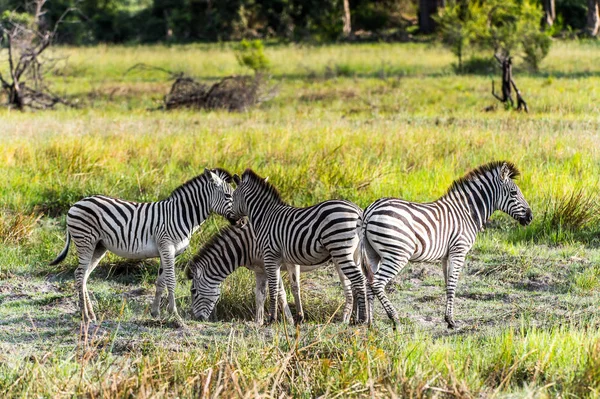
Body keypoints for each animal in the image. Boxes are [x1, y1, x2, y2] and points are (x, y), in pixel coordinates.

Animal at [49, 169, 237, 324]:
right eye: (229, 197)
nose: (240, 219)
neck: (181, 215)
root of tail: (76, 204)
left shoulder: (168, 251)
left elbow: (161, 281)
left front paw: (155, 313)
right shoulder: (167, 246)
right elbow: (171, 280)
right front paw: (174, 314)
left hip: (98, 246)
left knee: (84, 276)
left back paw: (91, 314)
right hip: (86, 242)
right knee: (80, 274)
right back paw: (85, 316)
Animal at [184, 225, 352, 324]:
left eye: (193, 291)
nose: (197, 319)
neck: (246, 244)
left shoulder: (270, 266)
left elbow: (275, 292)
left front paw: (285, 321)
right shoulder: (261, 270)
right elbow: (263, 294)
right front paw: (260, 322)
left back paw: (346, 319)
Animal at [231, 169, 368, 324]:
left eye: (233, 197)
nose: (237, 222)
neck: (265, 216)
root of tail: (357, 210)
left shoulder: (270, 255)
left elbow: (273, 287)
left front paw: (272, 318)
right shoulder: (285, 259)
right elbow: (291, 286)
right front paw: (298, 317)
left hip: (341, 249)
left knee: (359, 279)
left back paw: (363, 319)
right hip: (355, 253)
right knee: (361, 280)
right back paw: (359, 318)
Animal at [358, 161, 532, 330]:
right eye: (514, 193)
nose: (530, 217)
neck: (467, 213)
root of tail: (370, 210)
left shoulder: (446, 255)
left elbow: (448, 284)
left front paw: (448, 319)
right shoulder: (459, 250)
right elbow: (453, 285)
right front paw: (452, 321)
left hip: (373, 254)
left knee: (369, 283)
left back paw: (371, 324)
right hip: (397, 254)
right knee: (377, 283)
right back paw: (395, 319)